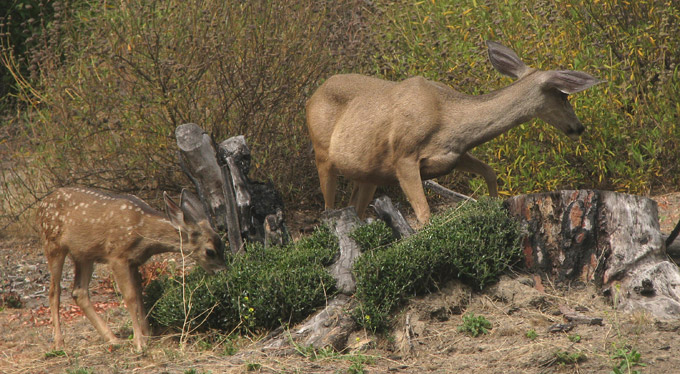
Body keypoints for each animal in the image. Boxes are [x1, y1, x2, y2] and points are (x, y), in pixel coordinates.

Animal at [36, 187, 228, 350]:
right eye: (210, 251)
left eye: (223, 245)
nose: (222, 271)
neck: (143, 233)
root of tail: (42, 204)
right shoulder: (117, 257)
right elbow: (129, 296)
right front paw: (139, 342)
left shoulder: (134, 261)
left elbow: (139, 294)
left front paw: (148, 335)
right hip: (52, 243)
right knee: (54, 292)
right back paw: (59, 343)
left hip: (84, 254)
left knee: (79, 292)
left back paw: (113, 339)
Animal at [306, 40, 604, 225]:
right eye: (564, 95)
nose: (579, 127)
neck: (447, 116)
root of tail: (313, 95)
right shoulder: (404, 155)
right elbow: (424, 214)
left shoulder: (455, 154)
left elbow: (489, 171)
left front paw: (494, 206)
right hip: (322, 154)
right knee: (328, 211)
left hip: (367, 175)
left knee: (354, 209)